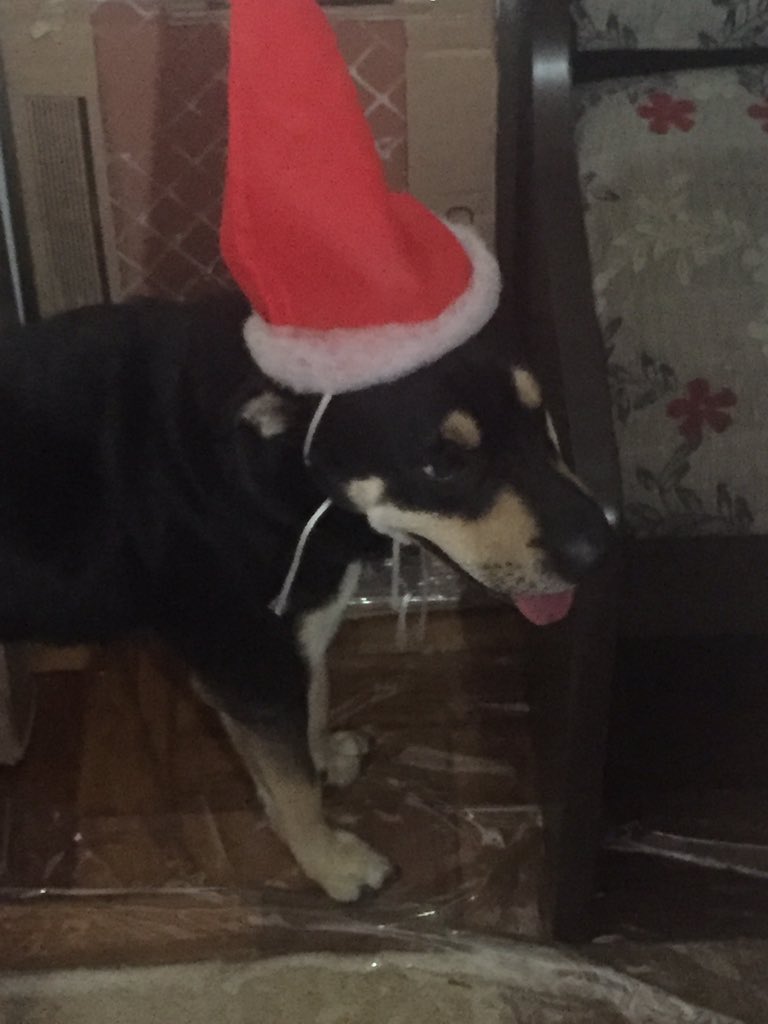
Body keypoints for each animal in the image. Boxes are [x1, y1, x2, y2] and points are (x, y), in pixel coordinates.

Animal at [0, 292, 612, 901]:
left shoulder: (295, 627)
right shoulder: (249, 668)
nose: (600, 545)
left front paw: (323, 759)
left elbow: (311, 706)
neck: (264, 467)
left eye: (540, 416)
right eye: (441, 465)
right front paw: (334, 864)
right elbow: (293, 789)